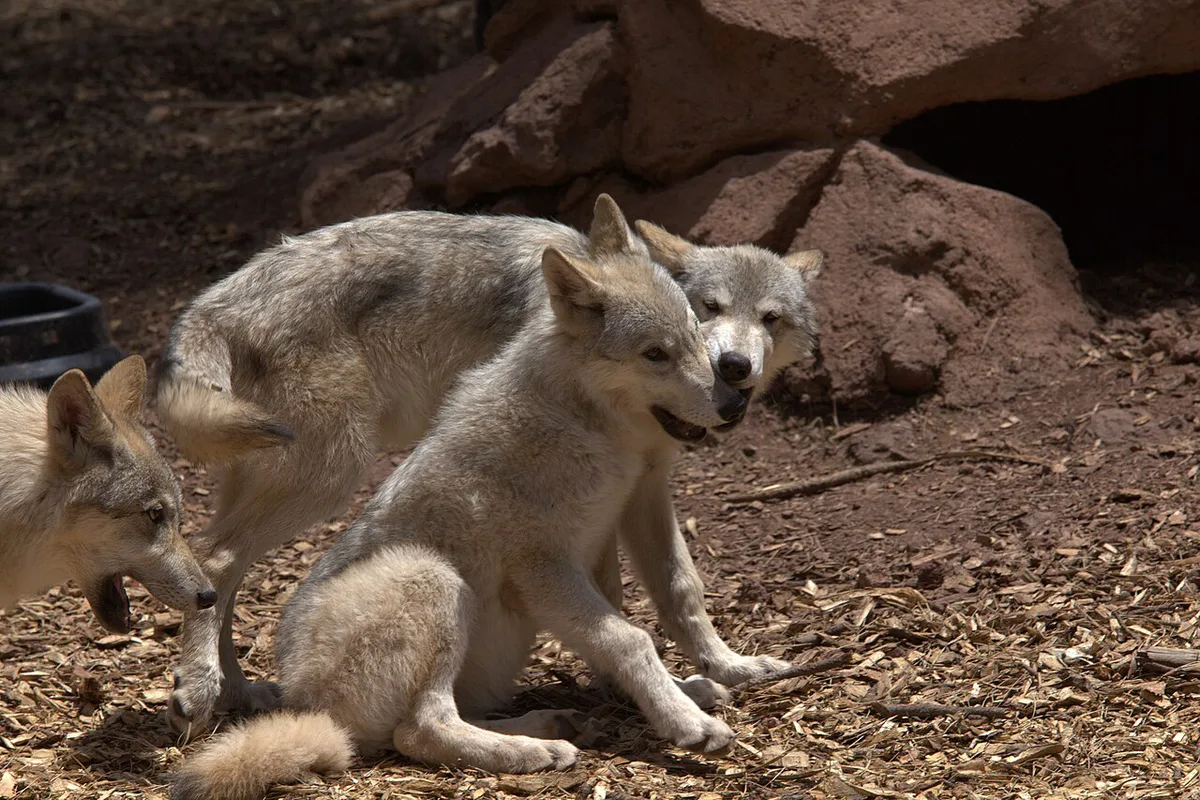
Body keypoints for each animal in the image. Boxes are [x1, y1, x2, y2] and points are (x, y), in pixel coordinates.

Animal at [157, 195, 822, 733]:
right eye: (708, 308)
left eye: (770, 319)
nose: (734, 381)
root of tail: (213, 303)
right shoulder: (579, 514)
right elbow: (617, 609)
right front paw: (649, 691)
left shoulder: (641, 489)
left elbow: (678, 588)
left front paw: (723, 669)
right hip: (330, 477)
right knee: (215, 557)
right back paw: (201, 687)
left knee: (223, 571)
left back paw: (238, 691)